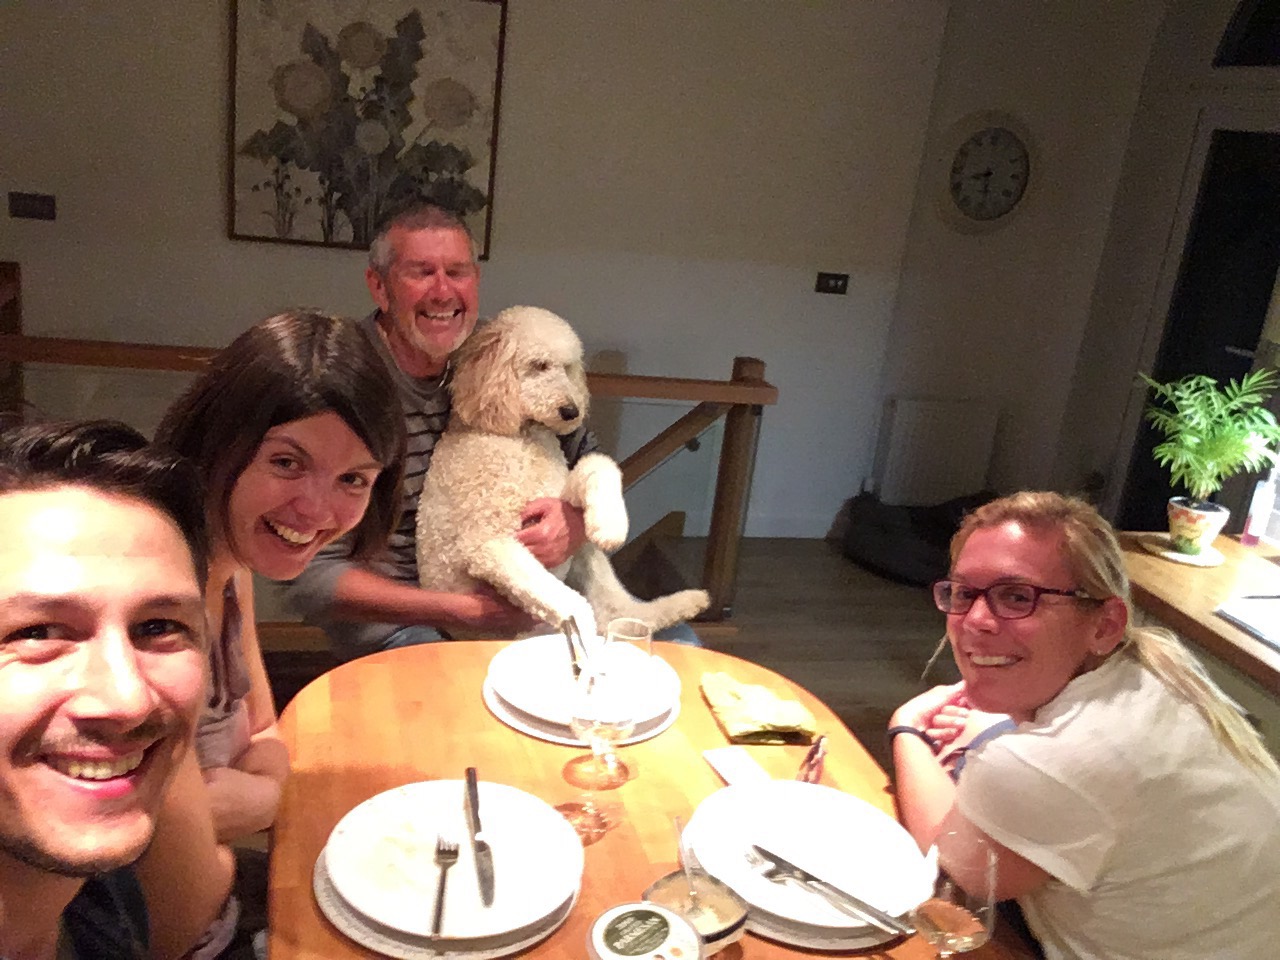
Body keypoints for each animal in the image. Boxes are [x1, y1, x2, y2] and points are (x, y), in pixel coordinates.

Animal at [416, 305, 710, 640]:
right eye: (539, 365)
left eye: (567, 368)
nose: (571, 412)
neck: (523, 436)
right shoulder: (488, 544)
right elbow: (570, 603)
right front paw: (582, 637)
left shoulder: (560, 497)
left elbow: (599, 464)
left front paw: (611, 524)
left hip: (582, 550)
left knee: (616, 608)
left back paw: (683, 603)